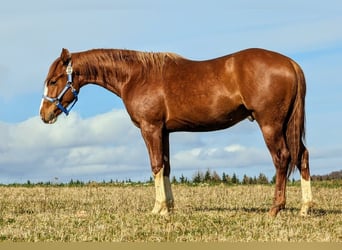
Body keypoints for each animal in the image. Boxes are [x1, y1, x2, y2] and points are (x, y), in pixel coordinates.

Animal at [39, 47, 312, 216]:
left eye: (53, 80)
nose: (44, 114)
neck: (137, 76)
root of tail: (290, 63)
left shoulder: (150, 128)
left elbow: (156, 165)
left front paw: (157, 209)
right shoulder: (165, 131)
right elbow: (167, 166)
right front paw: (168, 208)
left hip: (270, 125)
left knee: (282, 158)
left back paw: (275, 208)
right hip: (288, 125)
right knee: (302, 156)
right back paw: (305, 207)